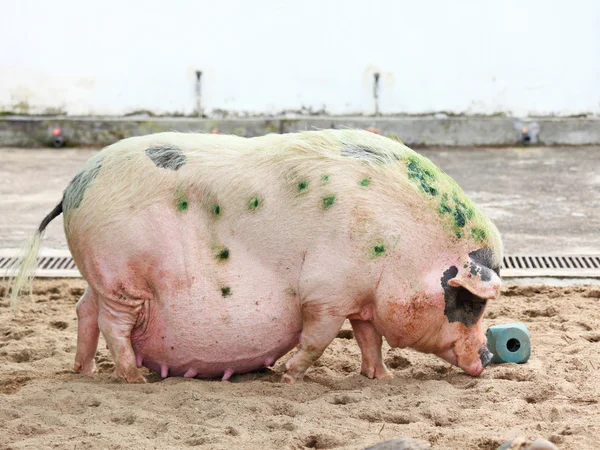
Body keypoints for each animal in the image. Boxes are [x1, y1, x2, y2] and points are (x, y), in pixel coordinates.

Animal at [9, 129, 502, 384]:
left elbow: (368, 337)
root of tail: (72, 187)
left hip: (100, 278)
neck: (405, 246)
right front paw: (285, 376)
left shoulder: (361, 297)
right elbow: (318, 338)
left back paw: (83, 370)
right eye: (469, 303)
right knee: (113, 325)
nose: (490, 357)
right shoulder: (327, 294)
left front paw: (382, 379)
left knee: (83, 310)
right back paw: (135, 379)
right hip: (122, 279)